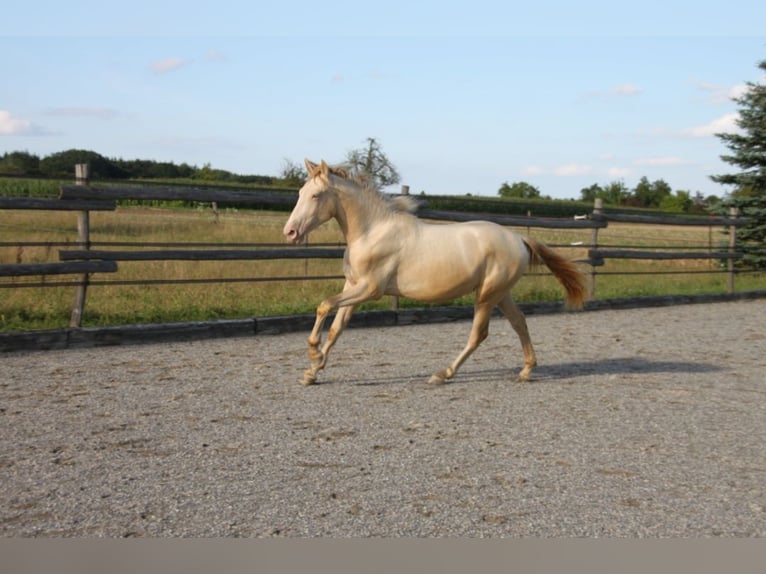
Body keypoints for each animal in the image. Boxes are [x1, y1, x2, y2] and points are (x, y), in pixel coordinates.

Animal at [284, 160, 588, 388]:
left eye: (316, 195)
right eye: (299, 193)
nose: (290, 232)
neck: (372, 231)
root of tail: (520, 239)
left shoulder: (370, 289)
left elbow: (324, 306)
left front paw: (313, 351)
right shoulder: (353, 287)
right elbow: (337, 328)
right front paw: (312, 372)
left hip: (487, 294)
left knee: (479, 334)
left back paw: (443, 374)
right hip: (501, 293)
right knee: (520, 323)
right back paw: (526, 371)